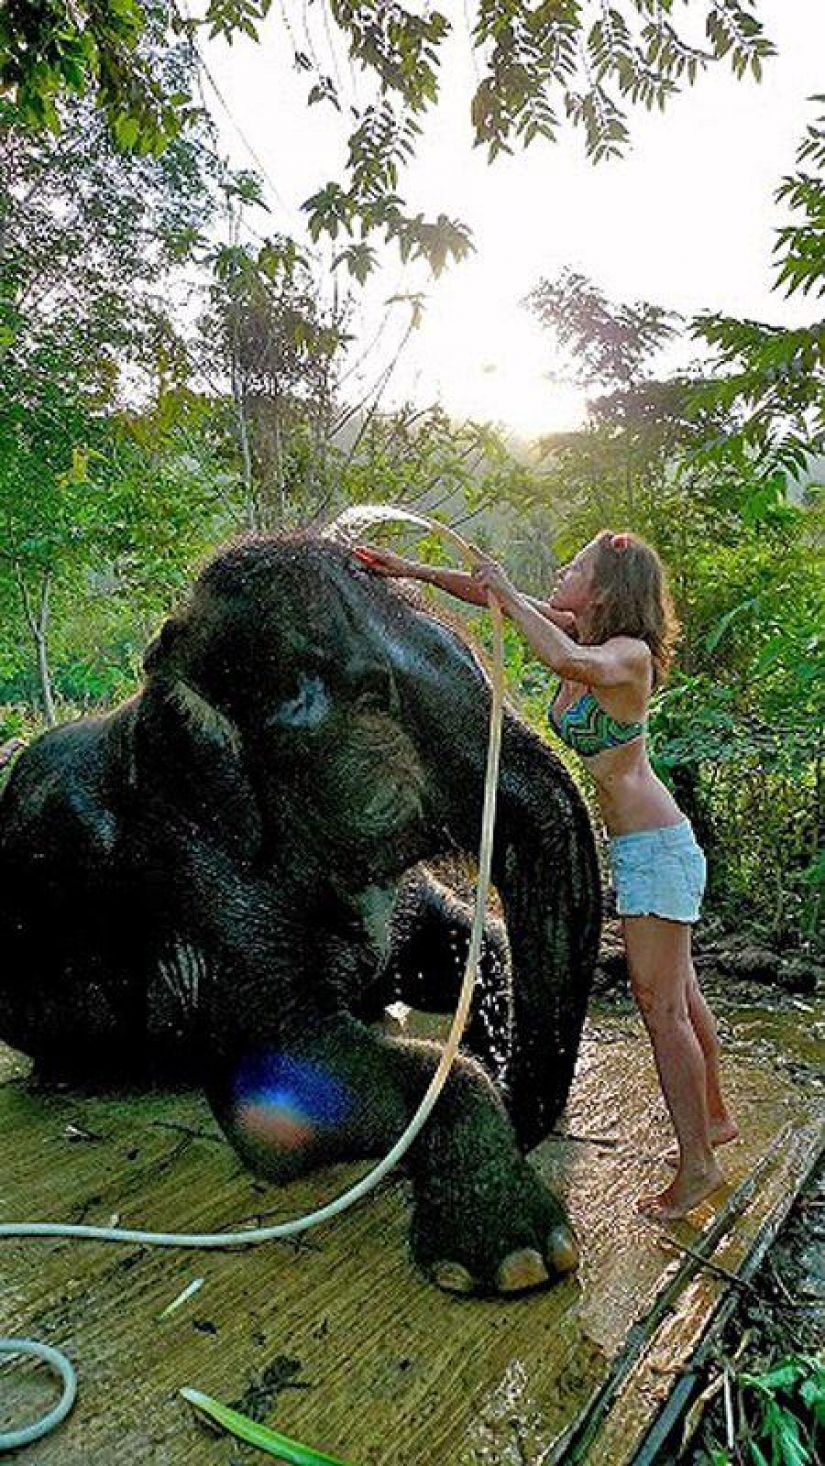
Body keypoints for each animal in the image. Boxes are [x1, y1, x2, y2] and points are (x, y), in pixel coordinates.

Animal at [0, 532, 601, 1295]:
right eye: (375, 699)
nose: (509, 1078)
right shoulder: (196, 885)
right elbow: (279, 1083)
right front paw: (520, 1260)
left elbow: (471, 944)